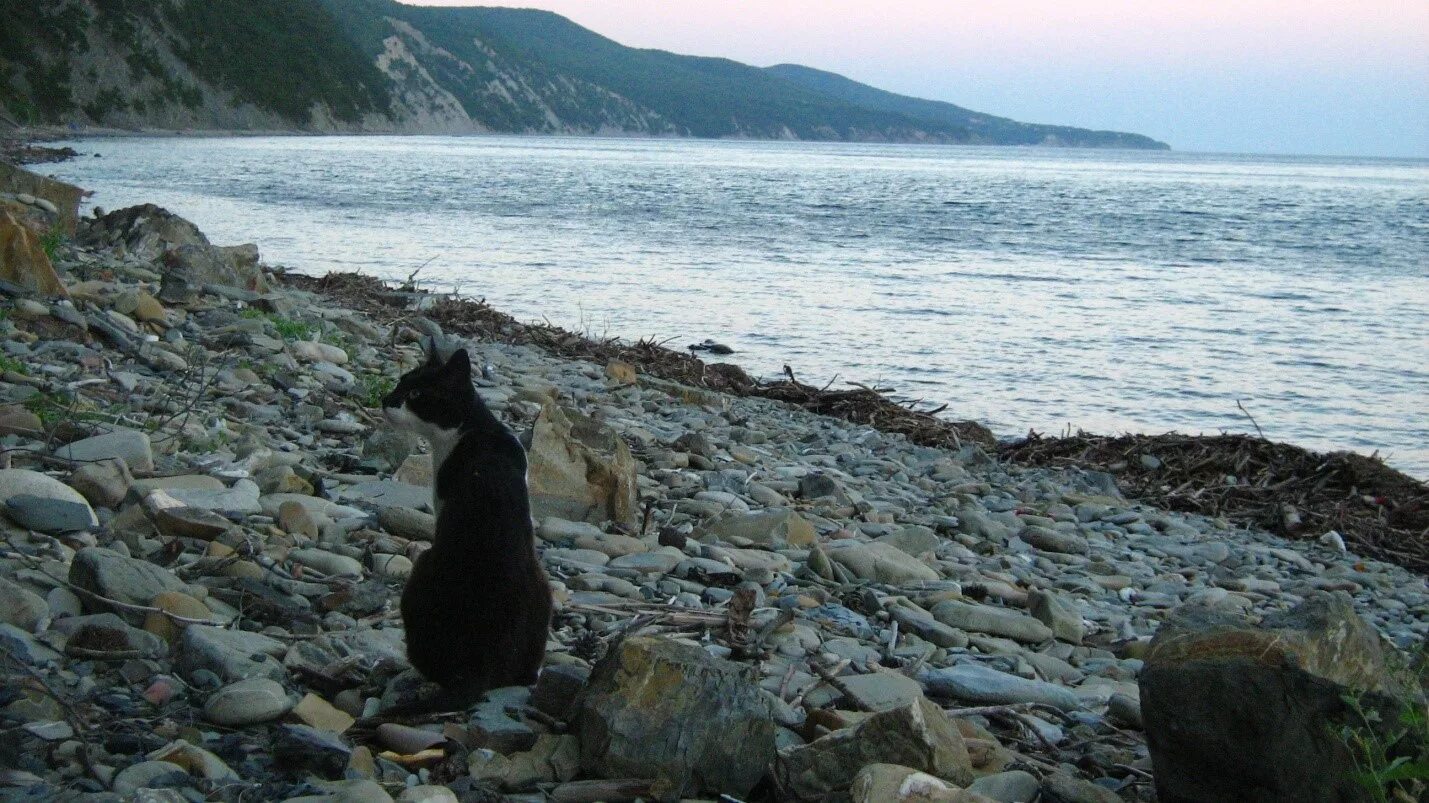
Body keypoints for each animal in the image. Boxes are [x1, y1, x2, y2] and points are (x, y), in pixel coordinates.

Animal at [380, 337, 551, 705]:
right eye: (401, 381)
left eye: (416, 393)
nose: (386, 400)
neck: (474, 428)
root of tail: (482, 667)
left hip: (424, 567)